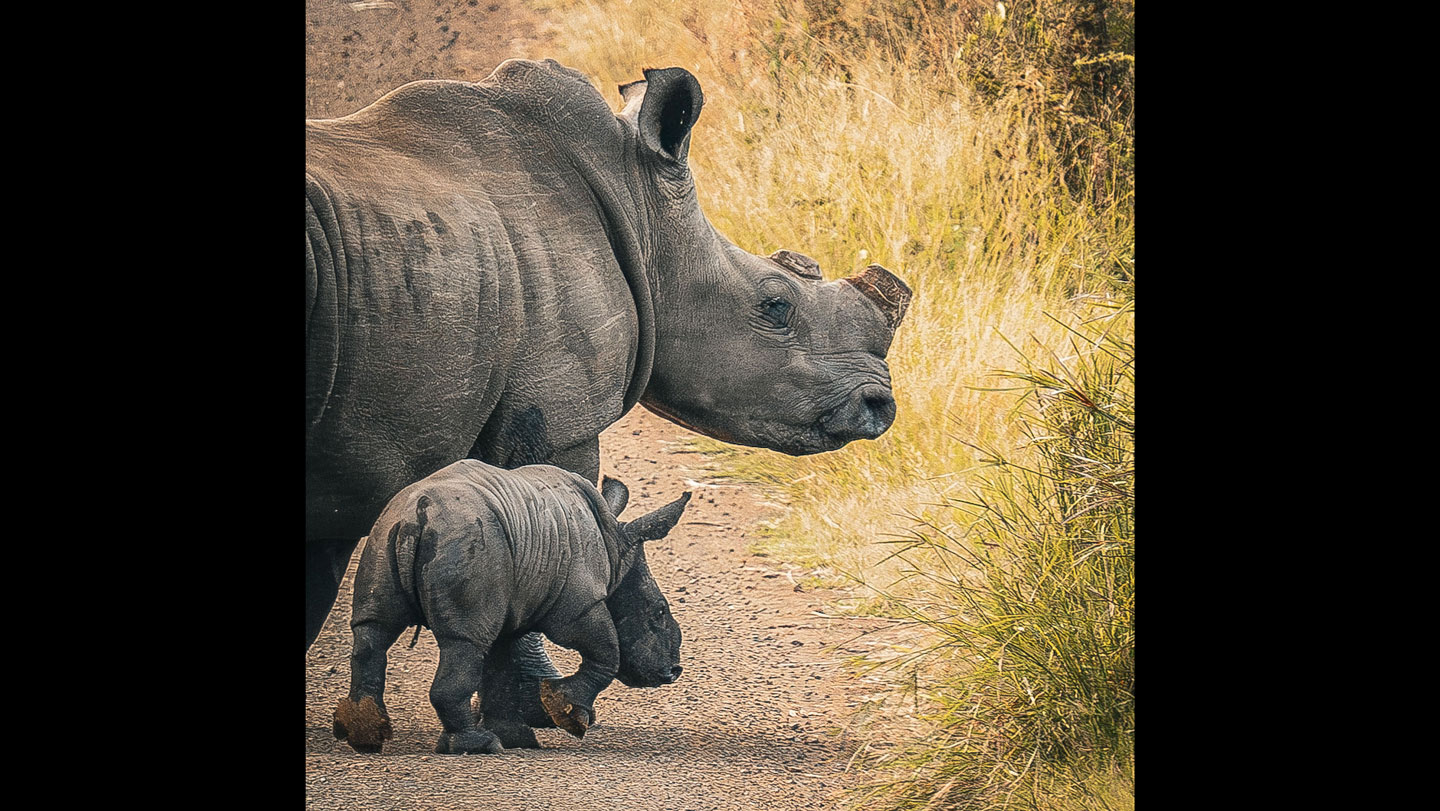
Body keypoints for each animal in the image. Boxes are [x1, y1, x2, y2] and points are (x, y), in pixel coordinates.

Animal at [333, 460, 690, 754]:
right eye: (659, 612)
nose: (673, 671)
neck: (617, 551)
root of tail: (419, 515)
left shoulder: (511, 604)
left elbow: (502, 663)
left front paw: (517, 738)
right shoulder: (579, 605)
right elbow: (607, 652)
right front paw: (568, 715)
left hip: (386, 533)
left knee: (374, 630)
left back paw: (363, 736)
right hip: (470, 542)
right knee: (465, 643)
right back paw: (477, 746)